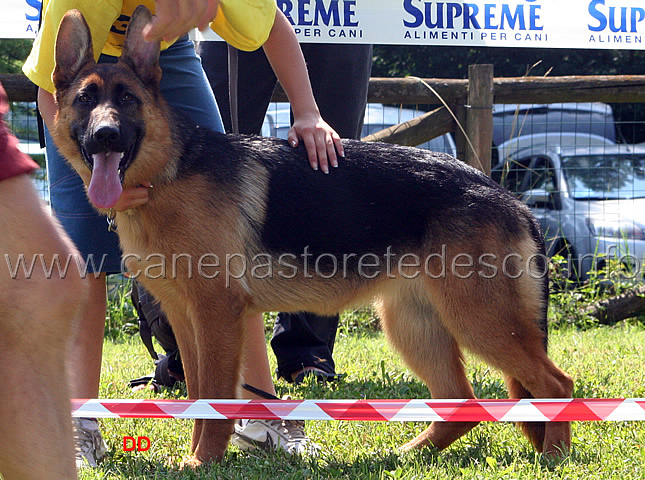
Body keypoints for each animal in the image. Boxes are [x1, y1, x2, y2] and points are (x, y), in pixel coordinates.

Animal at [52, 6, 572, 464]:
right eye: (85, 100)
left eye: (126, 100)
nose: (105, 136)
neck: (168, 174)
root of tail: (509, 197)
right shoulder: (187, 319)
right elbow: (199, 398)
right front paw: (201, 456)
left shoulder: (217, 315)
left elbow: (216, 399)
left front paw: (203, 461)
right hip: (414, 325)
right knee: (462, 402)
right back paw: (409, 454)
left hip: (480, 321)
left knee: (556, 385)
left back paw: (553, 458)